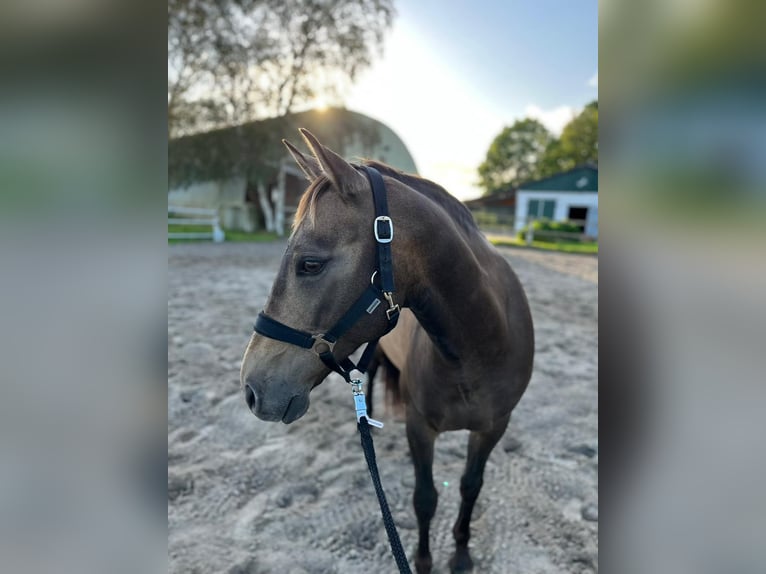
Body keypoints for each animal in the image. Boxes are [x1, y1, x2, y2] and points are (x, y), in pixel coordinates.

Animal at [240, 130, 536, 574]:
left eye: (310, 264)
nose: (251, 390)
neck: (479, 350)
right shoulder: (420, 428)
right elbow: (425, 498)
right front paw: (425, 560)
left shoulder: (493, 427)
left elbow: (470, 486)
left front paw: (461, 553)